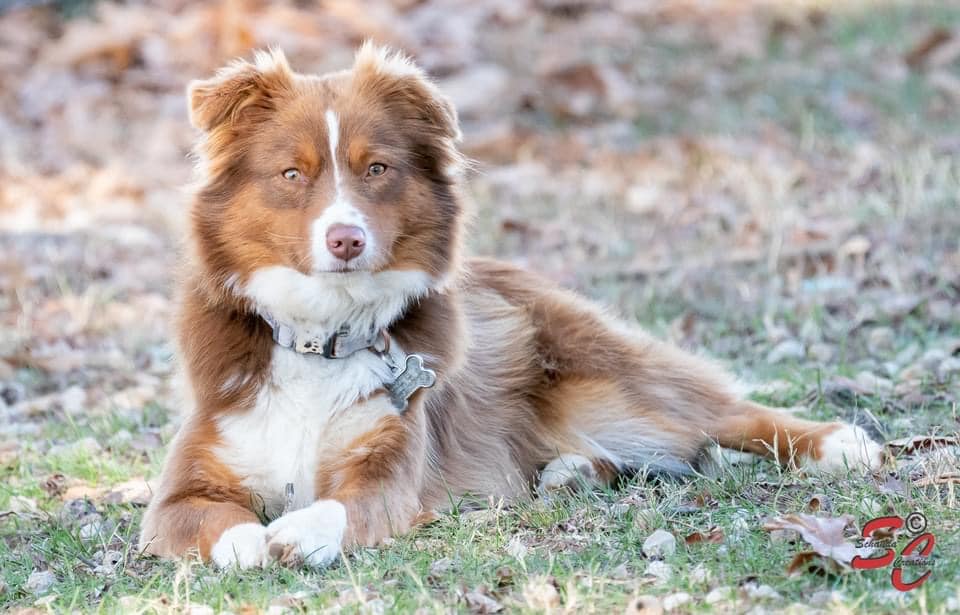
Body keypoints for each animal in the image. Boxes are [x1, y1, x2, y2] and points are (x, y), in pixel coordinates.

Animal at [139, 44, 880, 572]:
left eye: (376, 168)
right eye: (291, 174)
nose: (345, 238)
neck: (324, 335)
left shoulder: (390, 470)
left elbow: (343, 506)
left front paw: (297, 530)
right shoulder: (185, 486)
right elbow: (212, 520)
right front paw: (249, 541)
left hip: (609, 381)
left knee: (718, 412)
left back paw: (840, 443)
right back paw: (569, 471)